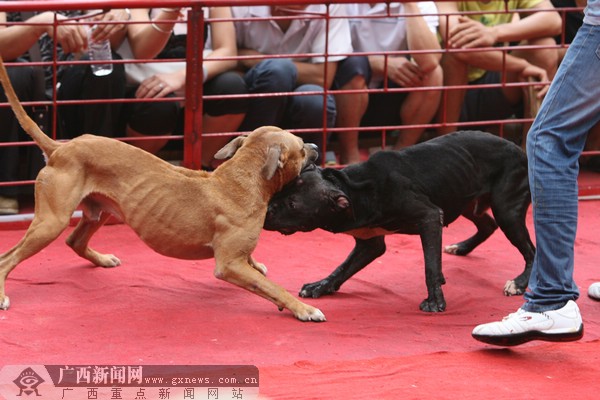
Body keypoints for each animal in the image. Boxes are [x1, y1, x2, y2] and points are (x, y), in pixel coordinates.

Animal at [0, 54, 324, 322]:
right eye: (300, 147)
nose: (317, 146)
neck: (241, 177)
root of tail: (59, 149)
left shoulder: (238, 258)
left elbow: (258, 270)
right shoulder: (229, 264)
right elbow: (273, 287)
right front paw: (303, 308)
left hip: (100, 211)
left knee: (74, 241)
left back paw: (101, 259)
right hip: (50, 223)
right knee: (8, 259)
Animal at [264, 131, 536, 312]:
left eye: (293, 204)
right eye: (283, 189)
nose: (265, 209)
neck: (352, 188)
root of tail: (518, 148)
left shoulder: (429, 217)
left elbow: (430, 266)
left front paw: (435, 300)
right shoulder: (370, 243)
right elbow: (343, 267)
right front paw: (321, 285)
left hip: (507, 209)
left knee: (530, 251)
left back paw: (520, 283)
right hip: (464, 200)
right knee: (488, 225)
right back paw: (462, 247)